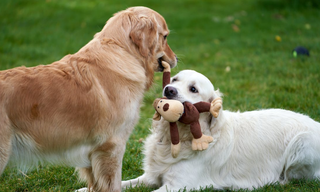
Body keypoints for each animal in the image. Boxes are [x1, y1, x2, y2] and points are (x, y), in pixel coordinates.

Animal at [122, 70, 320, 191]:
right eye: (175, 79)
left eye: (193, 89)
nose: (169, 90)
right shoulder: (150, 177)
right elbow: (122, 183)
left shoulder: (178, 185)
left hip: (301, 143)